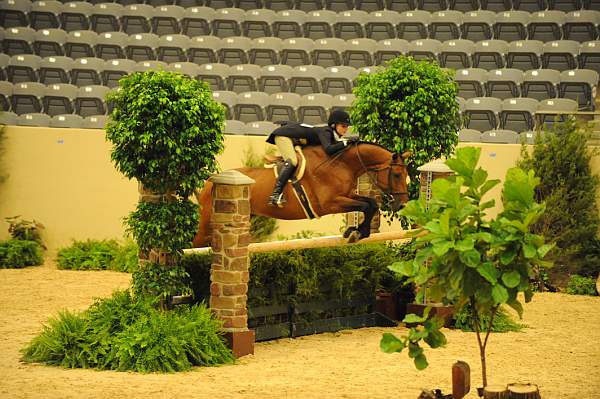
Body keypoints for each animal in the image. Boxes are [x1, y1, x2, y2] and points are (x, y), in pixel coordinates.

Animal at [195, 141, 410, 247]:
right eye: (397, 174)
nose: (402, 204)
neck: (341, 164)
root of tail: (209, 181)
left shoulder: (347, 196)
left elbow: (370, 203)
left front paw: (356, 231)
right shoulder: (330, 203)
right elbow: (367, 205)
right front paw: (357, 232)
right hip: (207, 222)